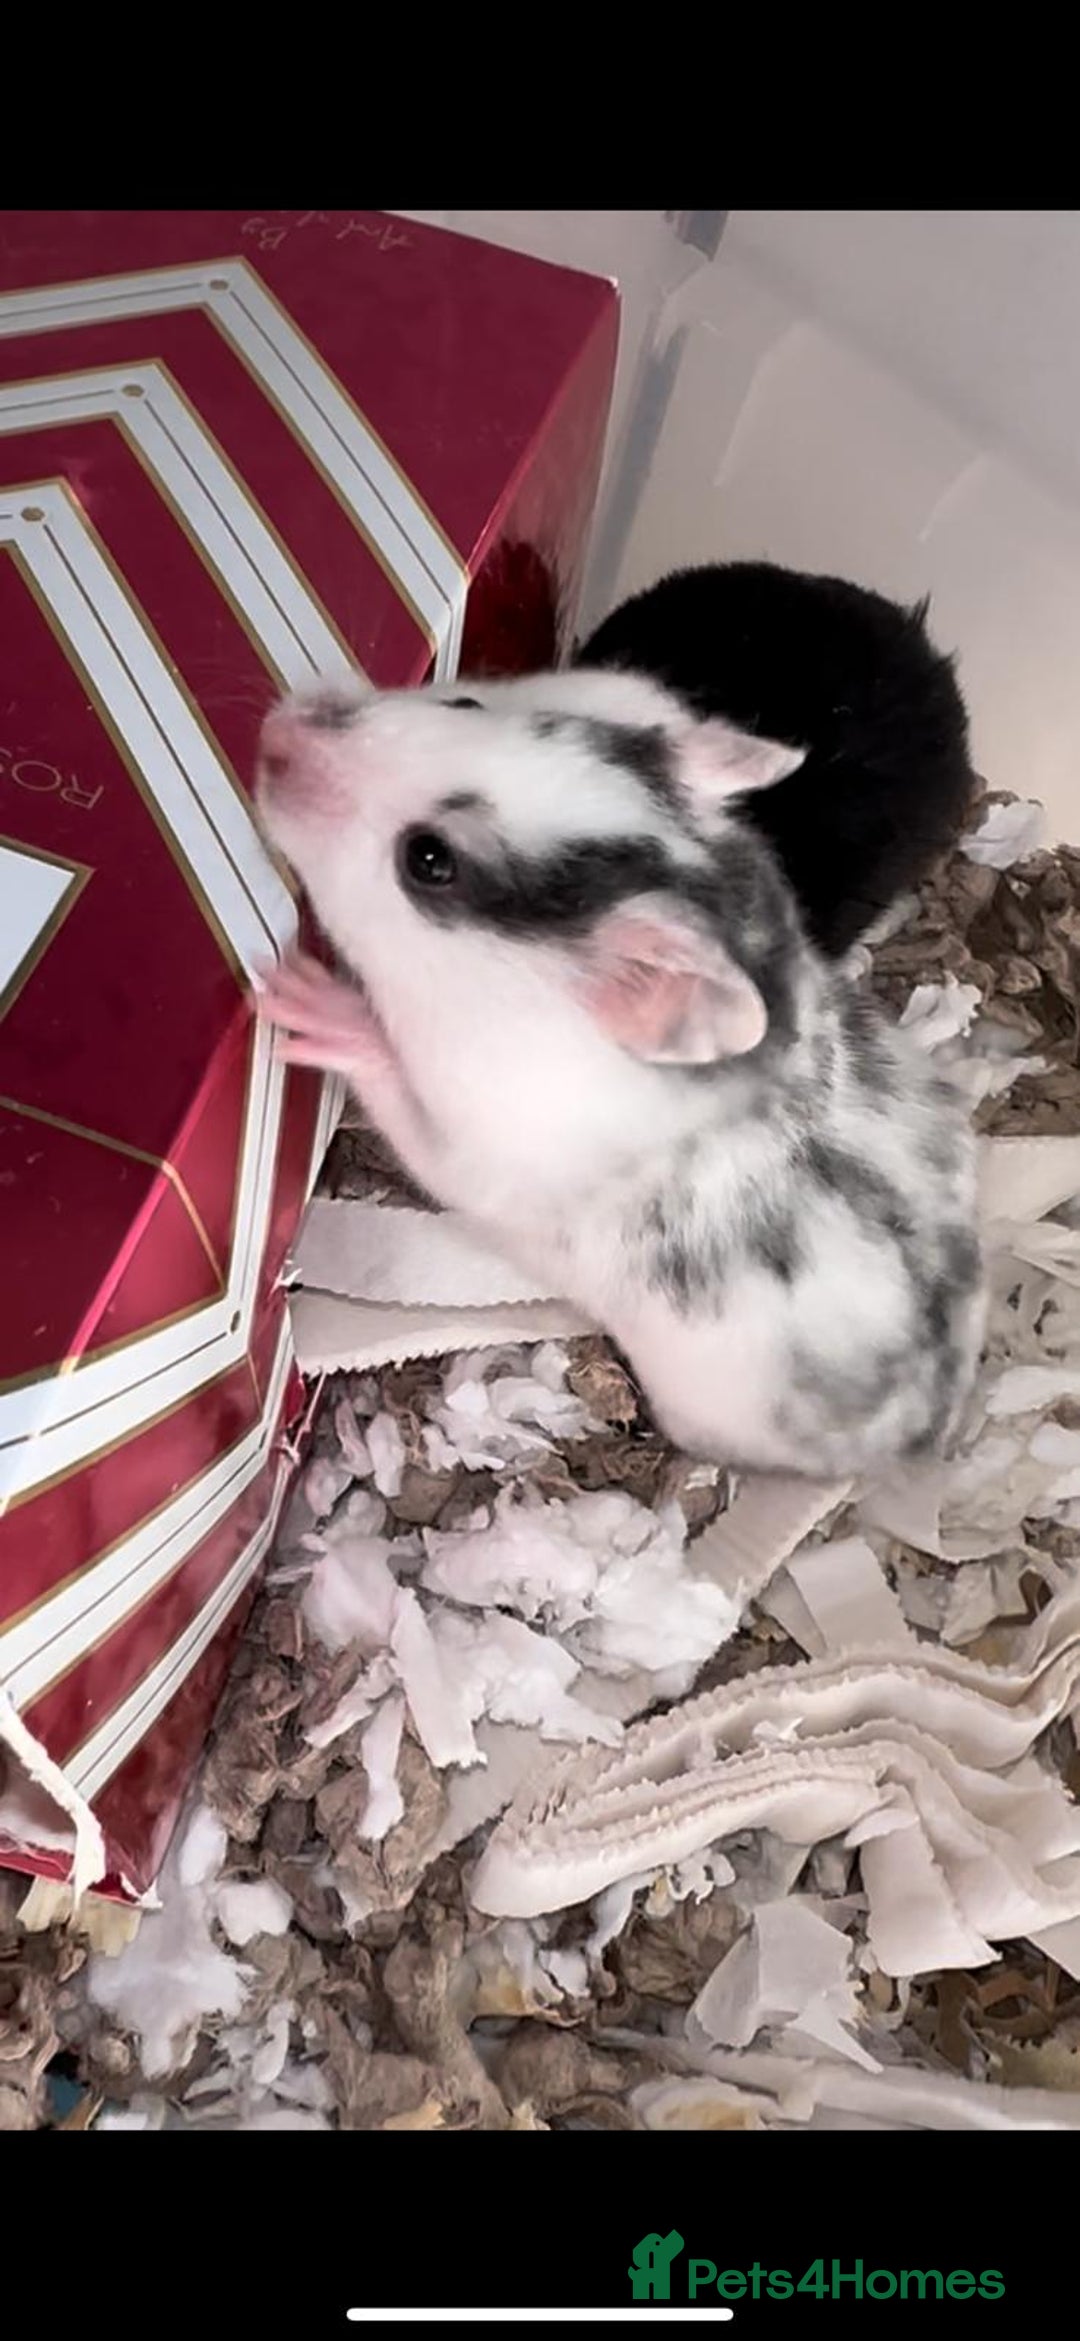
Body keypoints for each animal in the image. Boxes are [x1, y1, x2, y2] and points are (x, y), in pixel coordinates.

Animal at [254, 668, 983, 1481]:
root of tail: (936, 1431)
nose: (275, 727)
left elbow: (394, 1087)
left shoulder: (477, 1151)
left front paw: (296, 993)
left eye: (430, 860)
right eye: (465, 702)